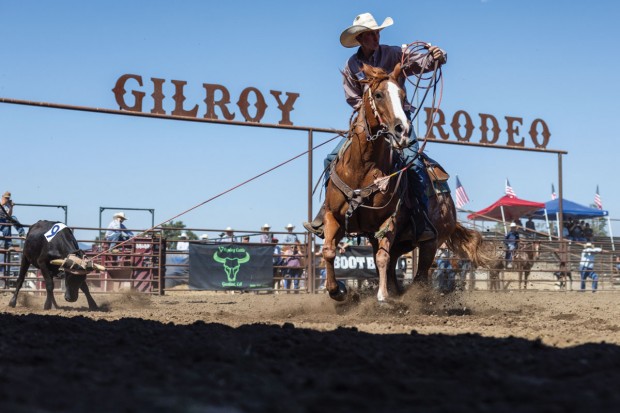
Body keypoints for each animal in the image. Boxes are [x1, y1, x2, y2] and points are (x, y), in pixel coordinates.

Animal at [322, 64, 486, 302]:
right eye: (378, 95)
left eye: (403, 96)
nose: (403, 130)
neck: (362, 167)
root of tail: (449, 203)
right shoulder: (332, 216)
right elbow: (329, 251)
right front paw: (337, 290)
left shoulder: (388, 221)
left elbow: (381, 258)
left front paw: (382, 297)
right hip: (402, 242)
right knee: (392, 265)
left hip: (431, 243)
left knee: (419, 275)